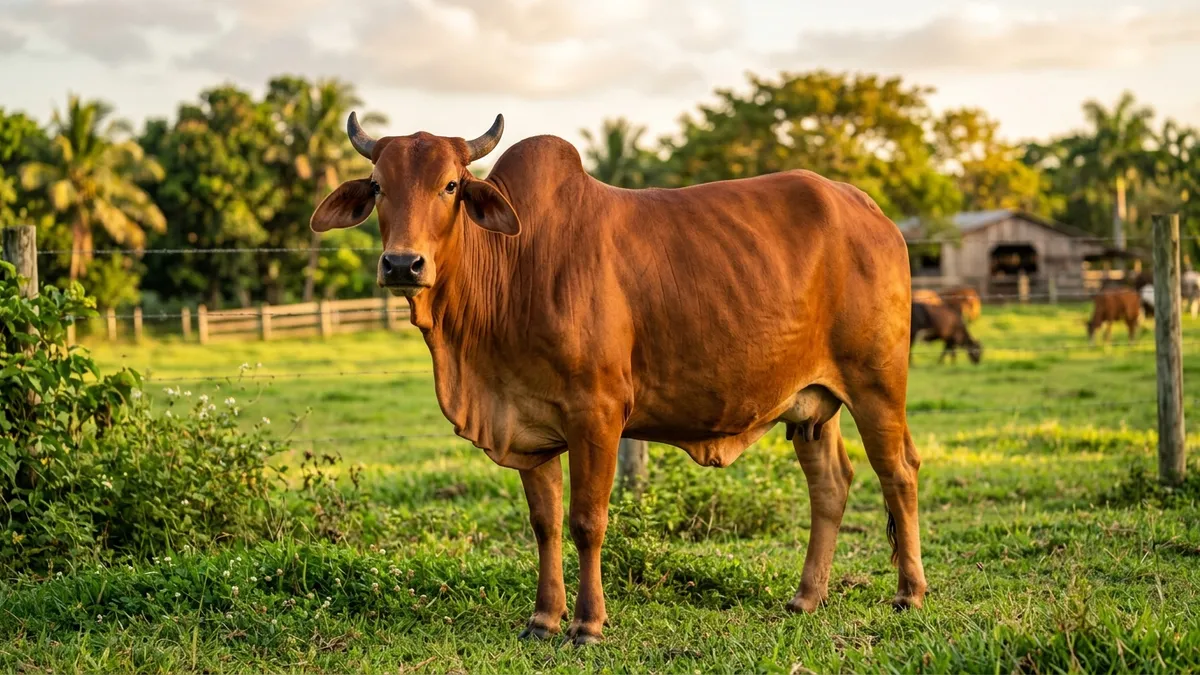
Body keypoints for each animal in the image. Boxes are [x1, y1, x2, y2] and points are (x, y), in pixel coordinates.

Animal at [309, 113, 927, 645]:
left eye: (451, 186)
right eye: (378, 186)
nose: (402, 265)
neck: (514, 269)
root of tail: (867, 209)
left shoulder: (598, 414)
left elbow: (587, 522)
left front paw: (587, 624)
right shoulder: (528, 425)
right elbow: (545, 523)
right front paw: (543, 619)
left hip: (877, 383)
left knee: (897, 472)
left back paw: (910, 593)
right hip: (810, 403)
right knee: (831, 484)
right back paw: (806, 597)